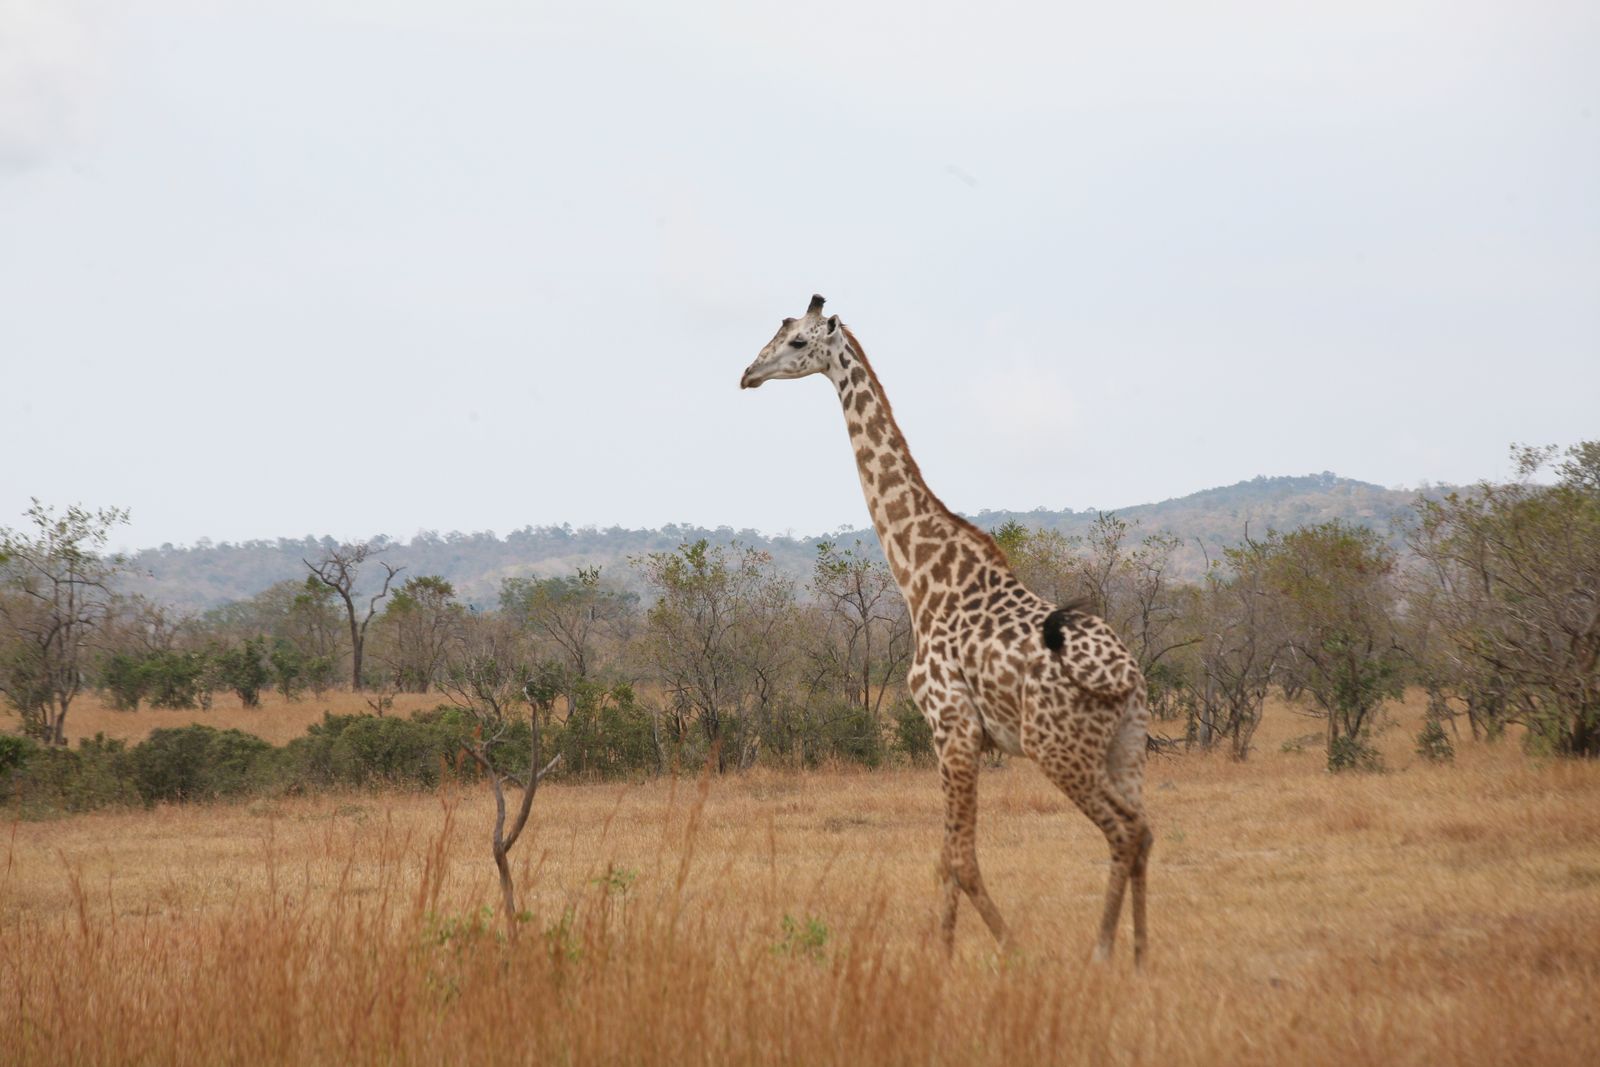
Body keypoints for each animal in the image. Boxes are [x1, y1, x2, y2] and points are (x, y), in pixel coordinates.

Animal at [736, 294, 1152, 966]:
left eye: (798, 342)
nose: (748, 374)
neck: (921, 578)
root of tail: (1128, 677)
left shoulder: (950, 725)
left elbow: (960, 859)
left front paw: (987, 950)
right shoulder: (957, 735)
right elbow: (947, 858)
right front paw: (948, 950)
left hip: (1059, 748)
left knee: (1122, 831)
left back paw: (1102, 952)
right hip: (1127, 744)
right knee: (1145, 828)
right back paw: (1140, 956)